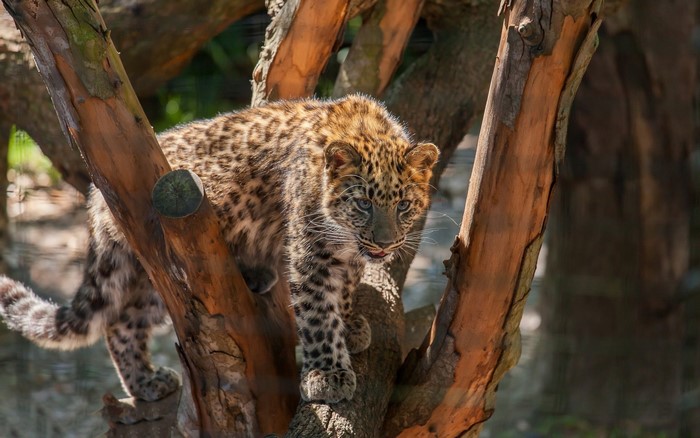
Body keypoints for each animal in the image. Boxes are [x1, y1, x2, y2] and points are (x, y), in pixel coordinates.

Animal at [0, 94, 438, 404]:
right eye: (363, 203)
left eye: (403, 205)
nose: (385, 242)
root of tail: (95, 196)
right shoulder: (311, 252)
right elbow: (317, 313)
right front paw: (327, 374)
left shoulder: (347, 255)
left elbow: (343, 292)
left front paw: (349, 326)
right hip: (167, 262)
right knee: (122, 318)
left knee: (123, 321)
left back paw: (147, 382)